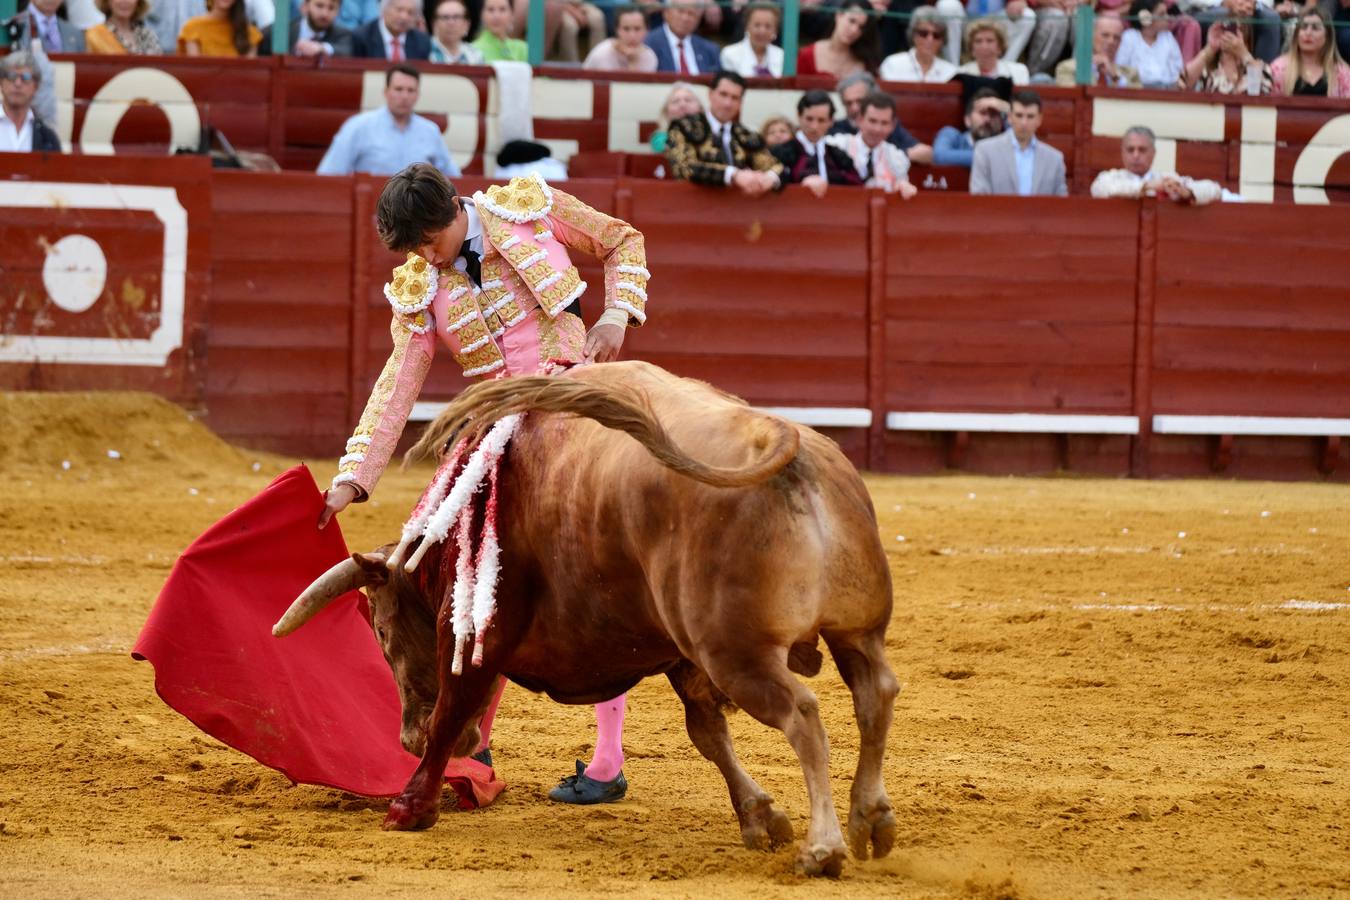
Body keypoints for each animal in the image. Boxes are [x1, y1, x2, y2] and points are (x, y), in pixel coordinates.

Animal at [274, 361, 896, 874]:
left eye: (380, 632)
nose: (403, 734)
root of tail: (779, 439)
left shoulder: (475, 631)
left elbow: (449, 713)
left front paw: (409, 808)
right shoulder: (680, 656)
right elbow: (707, 733)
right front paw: (759, 817)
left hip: (737, 652)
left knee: (803, 713)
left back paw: (824, 848)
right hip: (855, 631)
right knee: (874, 694)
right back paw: (870, 820)